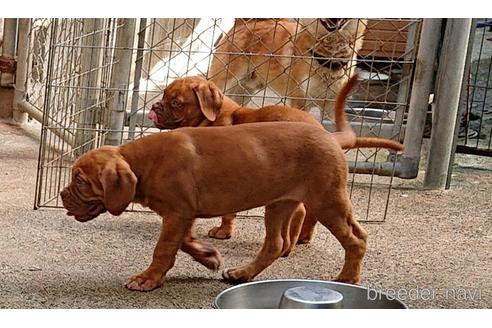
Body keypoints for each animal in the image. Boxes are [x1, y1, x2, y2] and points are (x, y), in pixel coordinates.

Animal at [61, 121, 368, 290]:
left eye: (81, 181)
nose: (63, 195)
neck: (144, 162)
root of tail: (331, 136)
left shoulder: (178, 212)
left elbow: (163, 248)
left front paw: (148, 279)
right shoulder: (182, 213)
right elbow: (183, 242)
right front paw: (208, 256)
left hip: (326, 201)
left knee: (357, 239)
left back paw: (347, 278)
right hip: (280, 204)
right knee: (276, 243)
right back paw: (242, 273)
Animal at [149, 75, 404, 242]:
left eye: (176, 103)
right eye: (163, 95)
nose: (155, 106)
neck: (213, 117)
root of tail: (327, 134)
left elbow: (228, 212)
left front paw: (223, 232)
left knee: (302, 213)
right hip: (316, 188)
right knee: (310, 214)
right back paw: (302, 238)